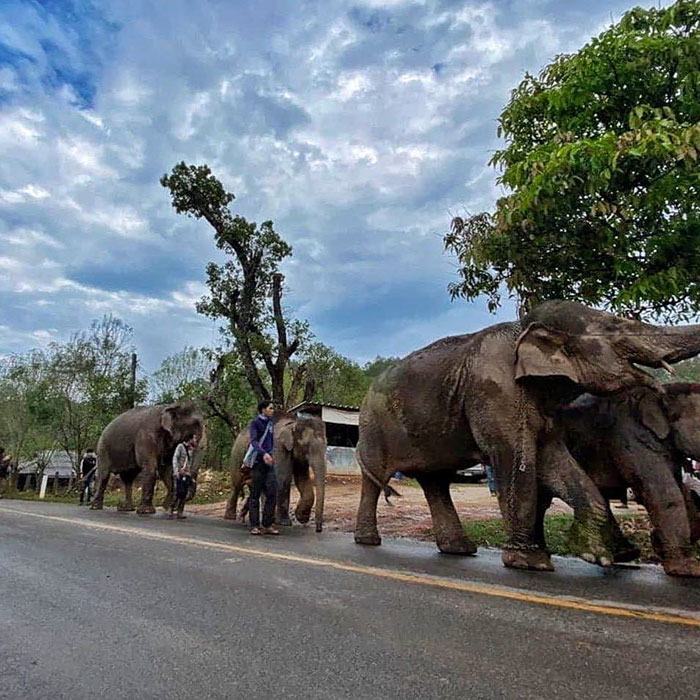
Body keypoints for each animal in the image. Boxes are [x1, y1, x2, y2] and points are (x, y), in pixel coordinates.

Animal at [553, 384, 700, 576]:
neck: (665, 394)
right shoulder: (632, 436)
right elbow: (664, 493)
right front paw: (689, 570)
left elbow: (683, 492)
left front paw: (659, 544)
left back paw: (624, 554)